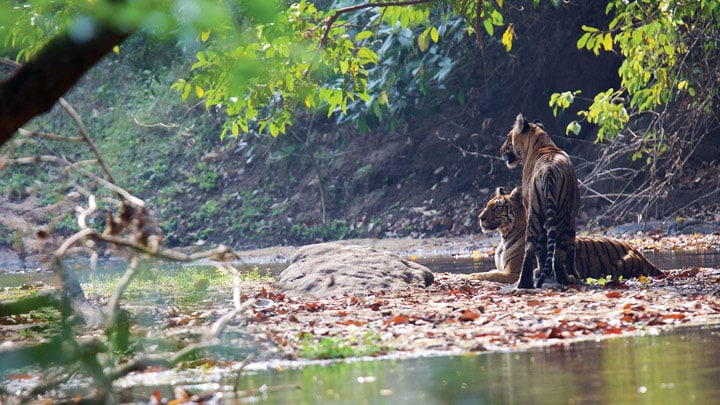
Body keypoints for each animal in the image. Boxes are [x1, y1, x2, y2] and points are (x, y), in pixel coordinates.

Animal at [470, 188, 668, 282]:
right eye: (487, 205)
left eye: (497, 207)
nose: (480, 218)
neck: (504, 236)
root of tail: (641, 255)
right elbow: (490, 272)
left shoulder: (514, 273)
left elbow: (487, 275)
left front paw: (468, 276)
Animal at [500, 113, 580, 288]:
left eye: (508, 137)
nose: (501, 151)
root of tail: (549, 170)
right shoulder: (573, 213)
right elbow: (570, 247)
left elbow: (542, 248)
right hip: (564, 215)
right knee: (560, 251)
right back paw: (567, 278)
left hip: (534, 214)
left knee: (530, 248)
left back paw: (524, 283)